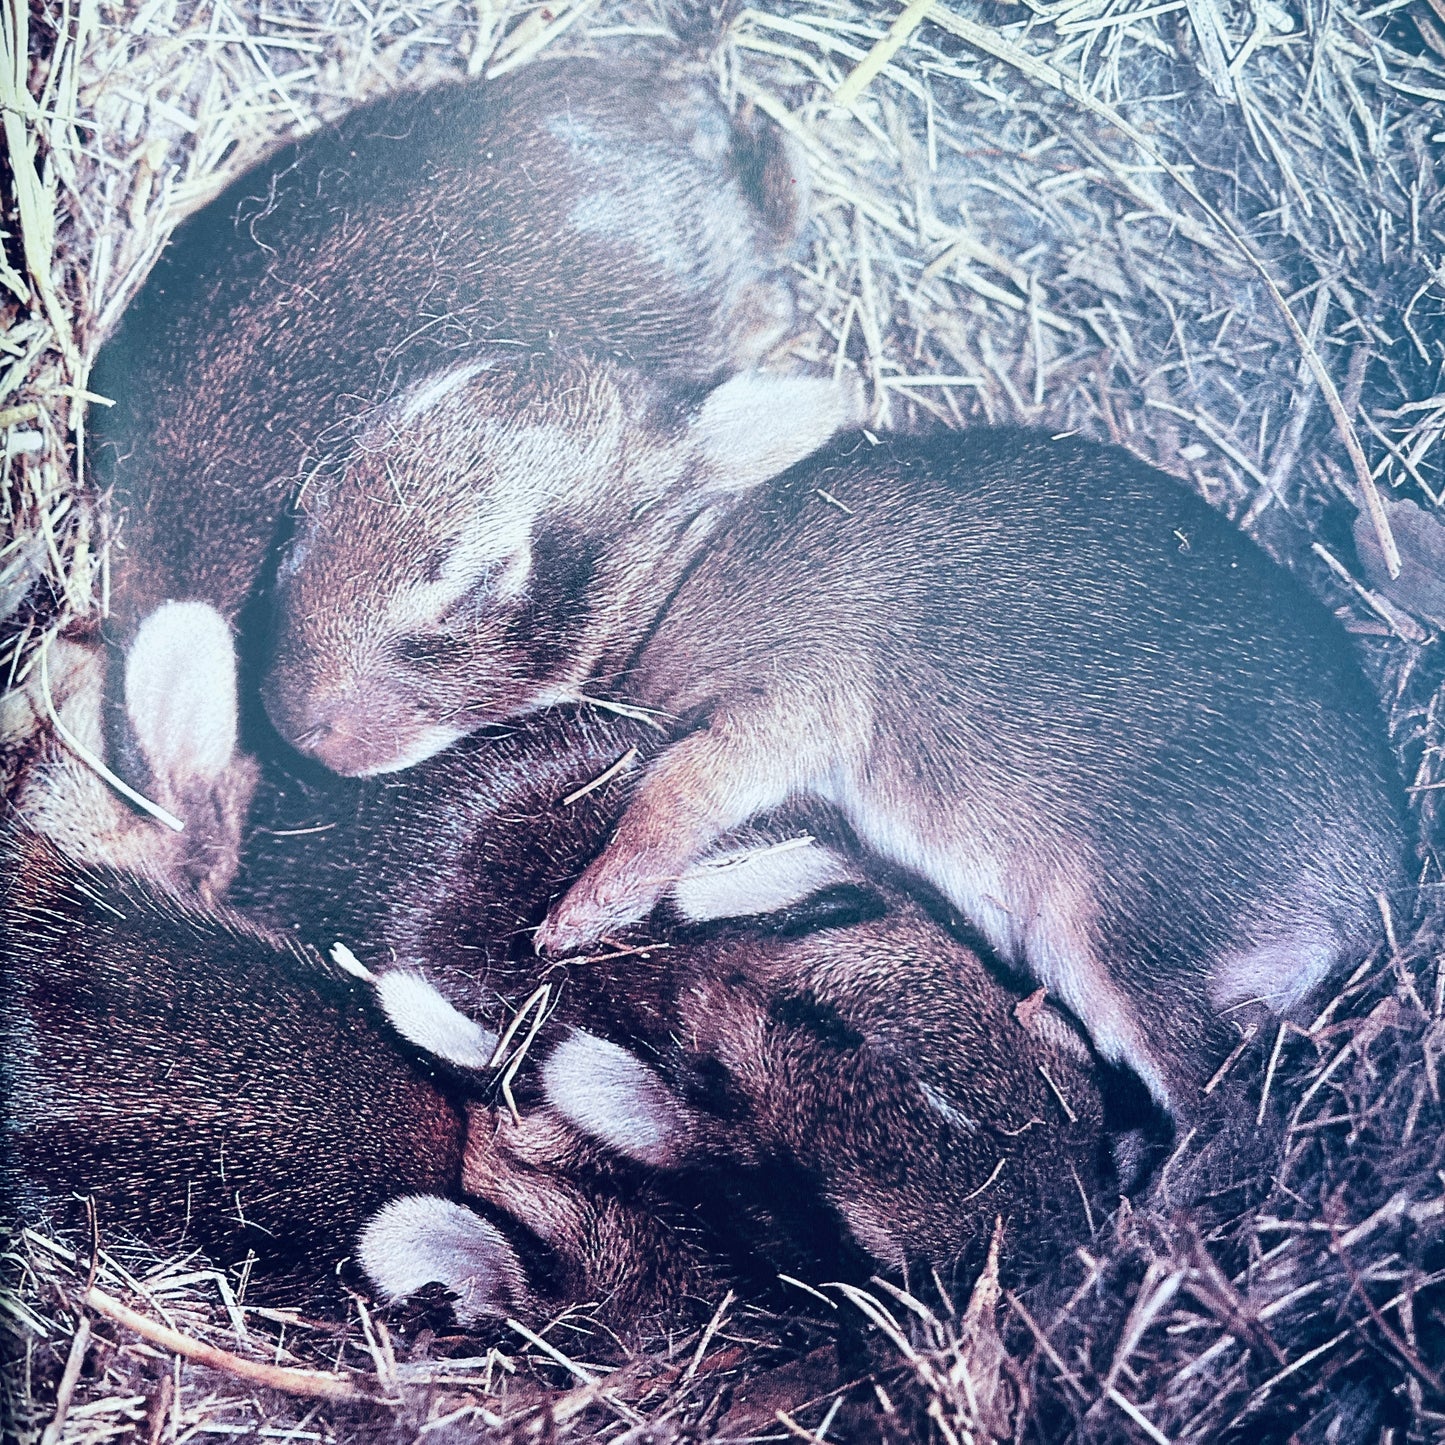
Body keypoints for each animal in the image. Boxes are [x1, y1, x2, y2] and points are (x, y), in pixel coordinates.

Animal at [259, 351, 1408, 1117]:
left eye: (479, 580)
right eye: (308, 504)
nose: (291, 721)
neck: (680, 569)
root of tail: (1367, 889)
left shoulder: (790, 703)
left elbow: (679, 790)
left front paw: (580, 916)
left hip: (1127, 933)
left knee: (1216, 1104)